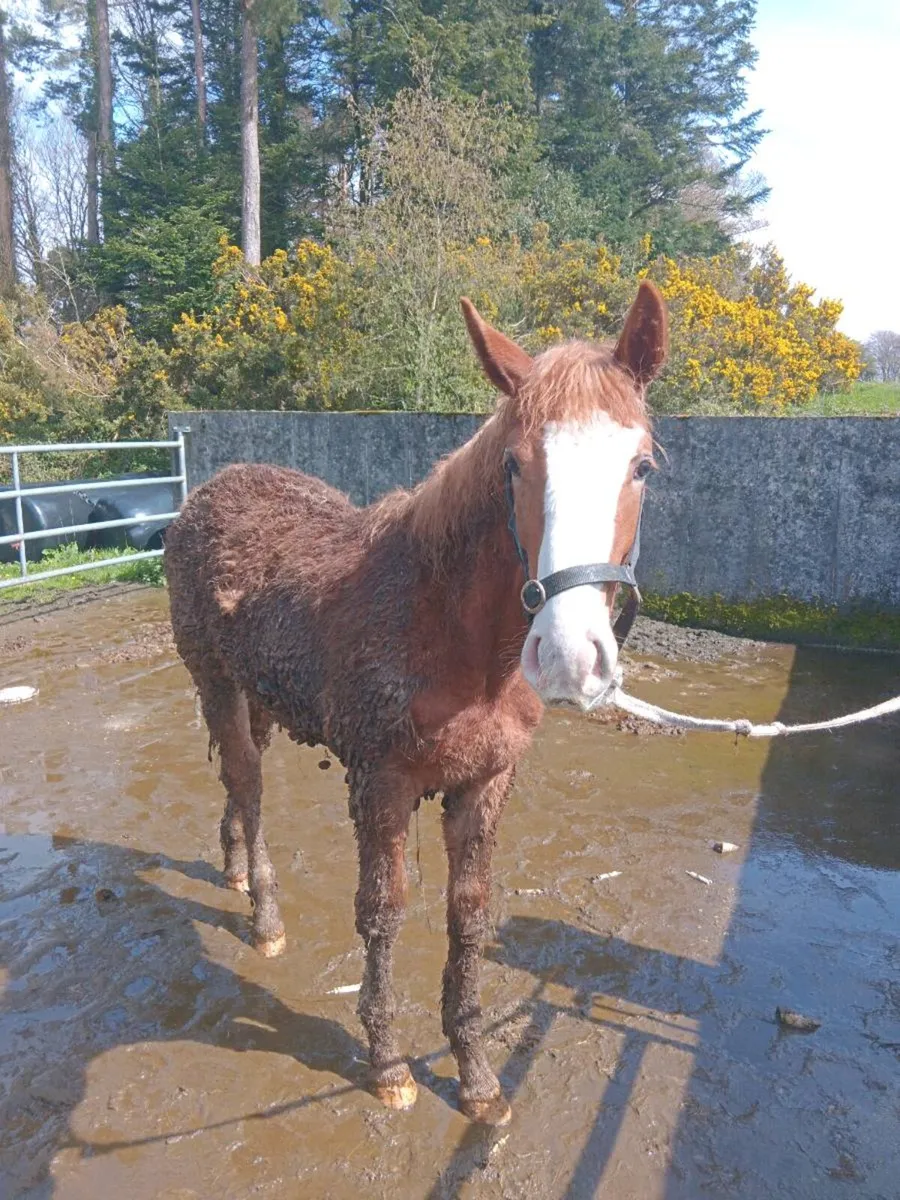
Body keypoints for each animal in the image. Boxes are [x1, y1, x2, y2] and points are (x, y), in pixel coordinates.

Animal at [163, 280, 668, 1125]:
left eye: (639, 466)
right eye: (514, 463)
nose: (572, 654)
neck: (452, 632)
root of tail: (210, 489)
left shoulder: (485, 784)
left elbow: (468, 917)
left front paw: (476, 1074)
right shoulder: (382, 783)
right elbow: (384, 911)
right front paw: (389, 1062)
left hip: (257, 696)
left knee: (238, 784)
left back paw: (233, 872)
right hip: (217, 684)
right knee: (248, 787)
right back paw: (264, 915)